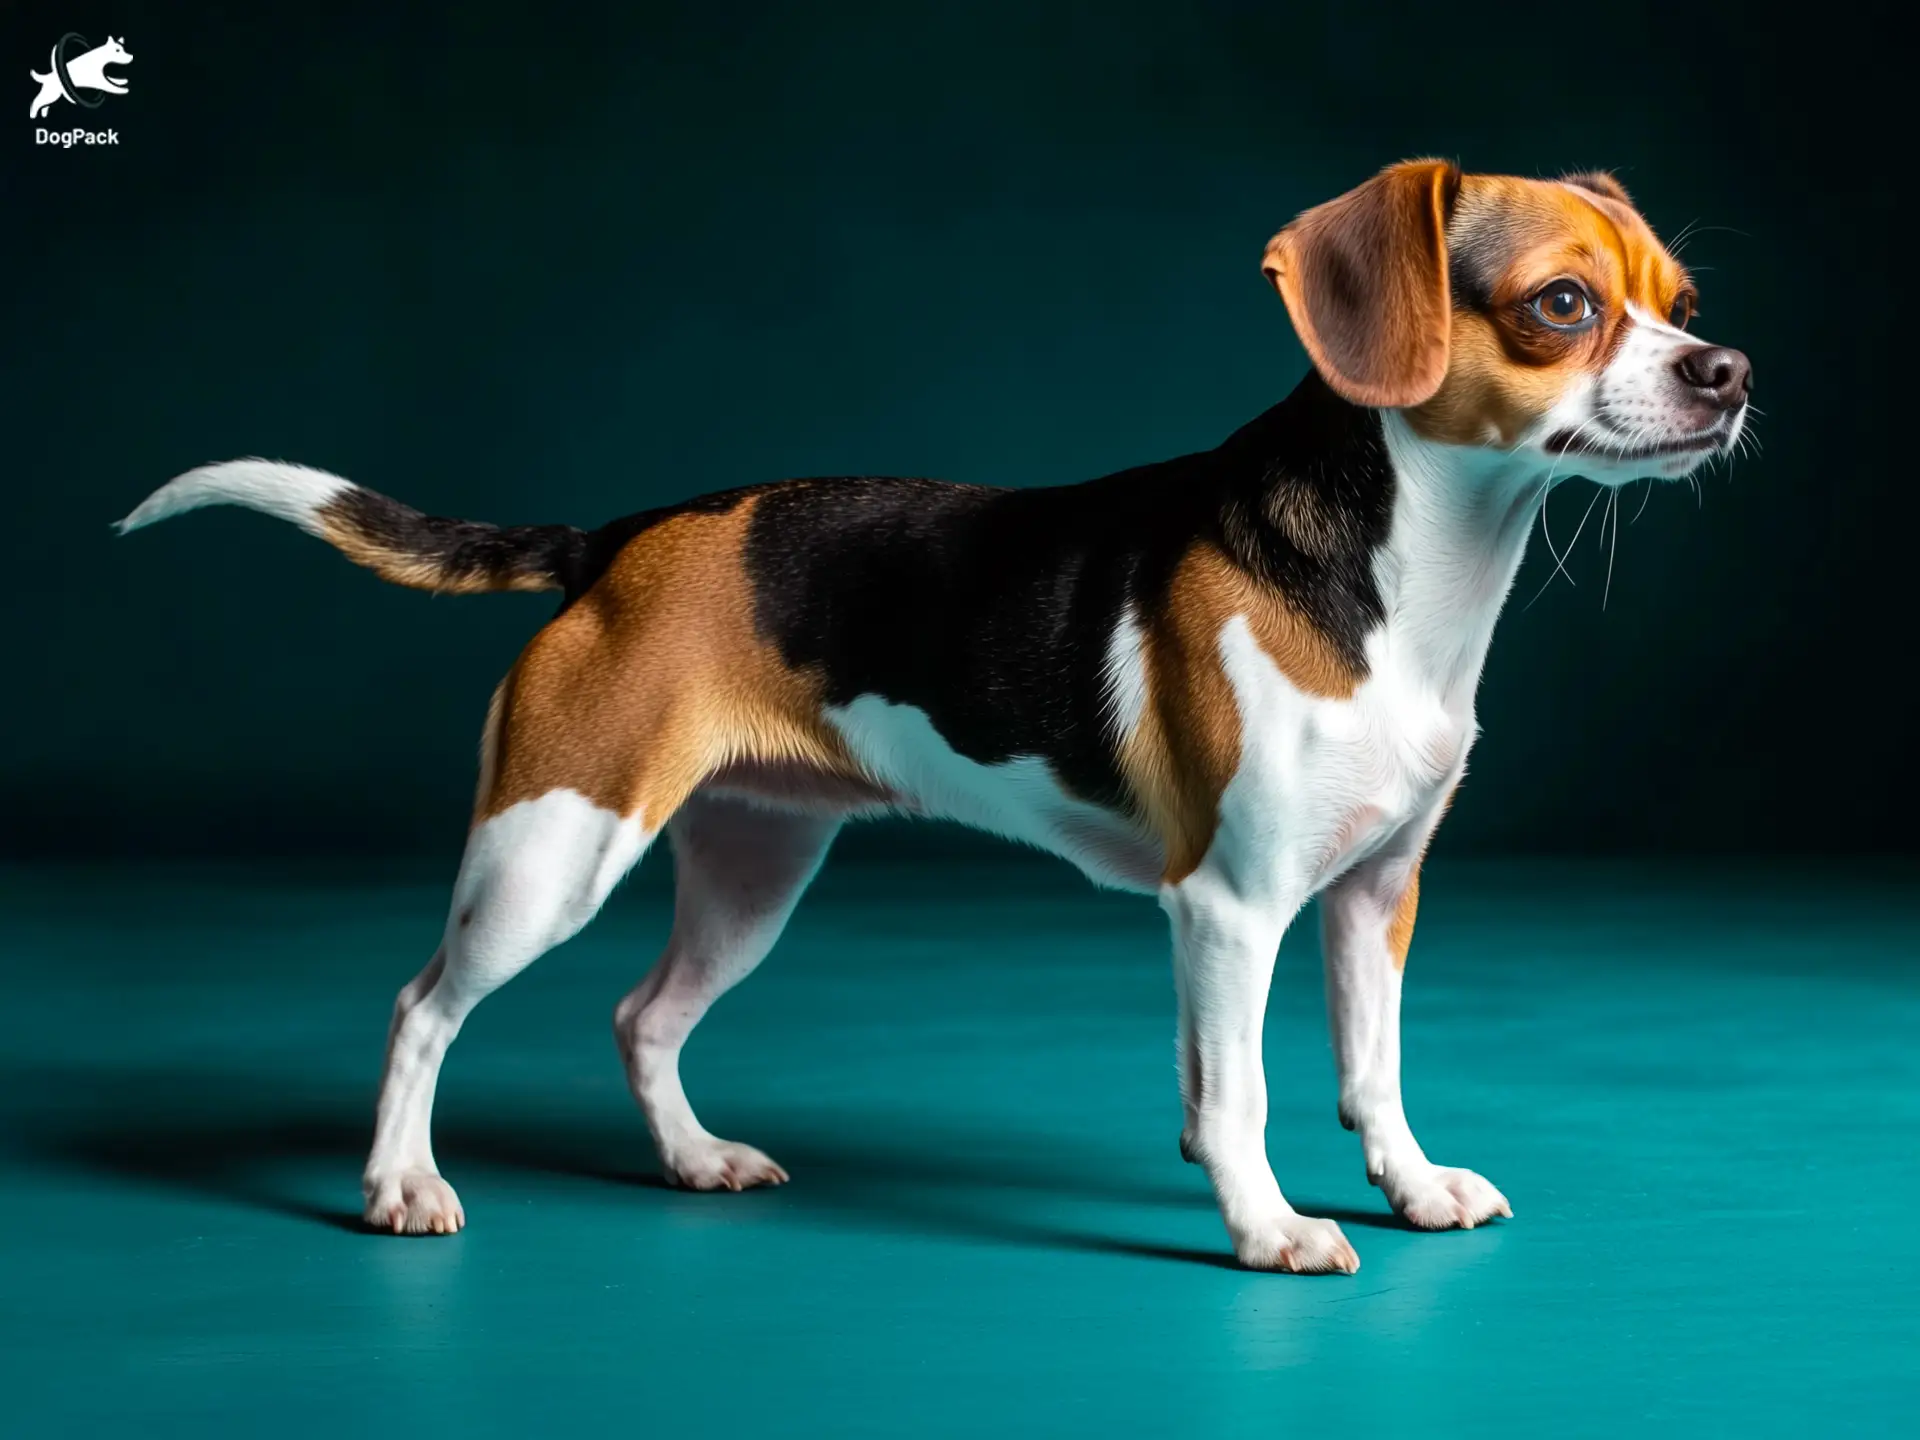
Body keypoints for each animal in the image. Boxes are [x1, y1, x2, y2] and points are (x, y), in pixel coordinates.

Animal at [112, 160, 1751, 1274]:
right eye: (1560, 307)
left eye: (1678, 304)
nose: (1727, 372)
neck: (1413, 571)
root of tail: (620, 538)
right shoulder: (1230, 909)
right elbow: (1241, 1095)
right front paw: (1270, 1225)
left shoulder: (1373, 894)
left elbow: (1371, 1073)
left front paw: (1408, 1188)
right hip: (549, 854)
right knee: (422, 1009)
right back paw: (401, 1185)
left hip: (753, 871)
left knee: (646, 1018)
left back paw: (693, 1158)